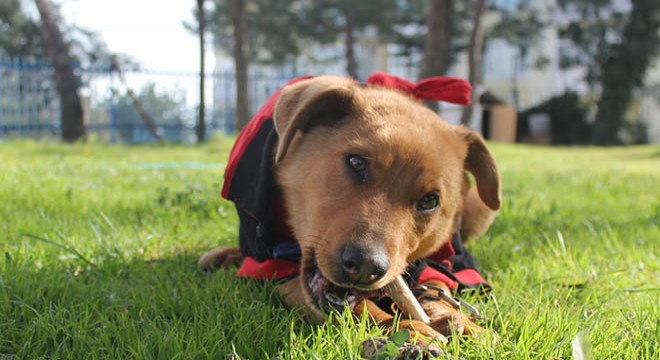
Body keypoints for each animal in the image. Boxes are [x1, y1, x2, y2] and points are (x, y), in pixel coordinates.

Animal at [200, 75, 500, 348]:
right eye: (356, 162)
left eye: (429, 201)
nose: (367, 267)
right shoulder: (279, 268)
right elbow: (360, 307)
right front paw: (406, 328)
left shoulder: (445, 259)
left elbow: (436, 289)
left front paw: (458, 320)